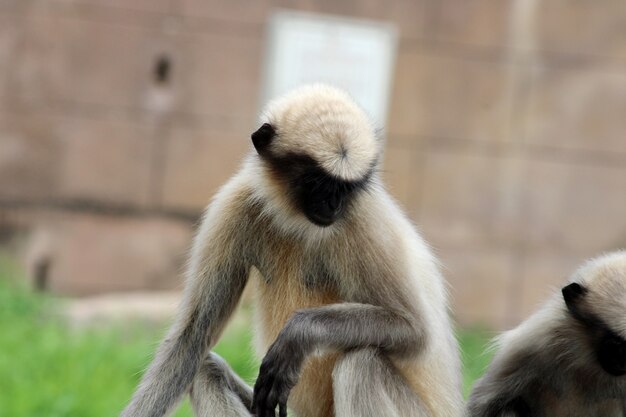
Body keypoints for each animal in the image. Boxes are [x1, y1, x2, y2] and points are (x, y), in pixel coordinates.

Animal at [120, 83, 464, 416]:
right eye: (316, 182)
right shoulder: (237, 201)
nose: (333, 205)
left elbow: (416, 332)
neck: (297, 220)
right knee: (207, 370)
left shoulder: (364, 218)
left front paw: (299, 334)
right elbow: (192, 338)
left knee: (361, 363)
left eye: (345, 188)